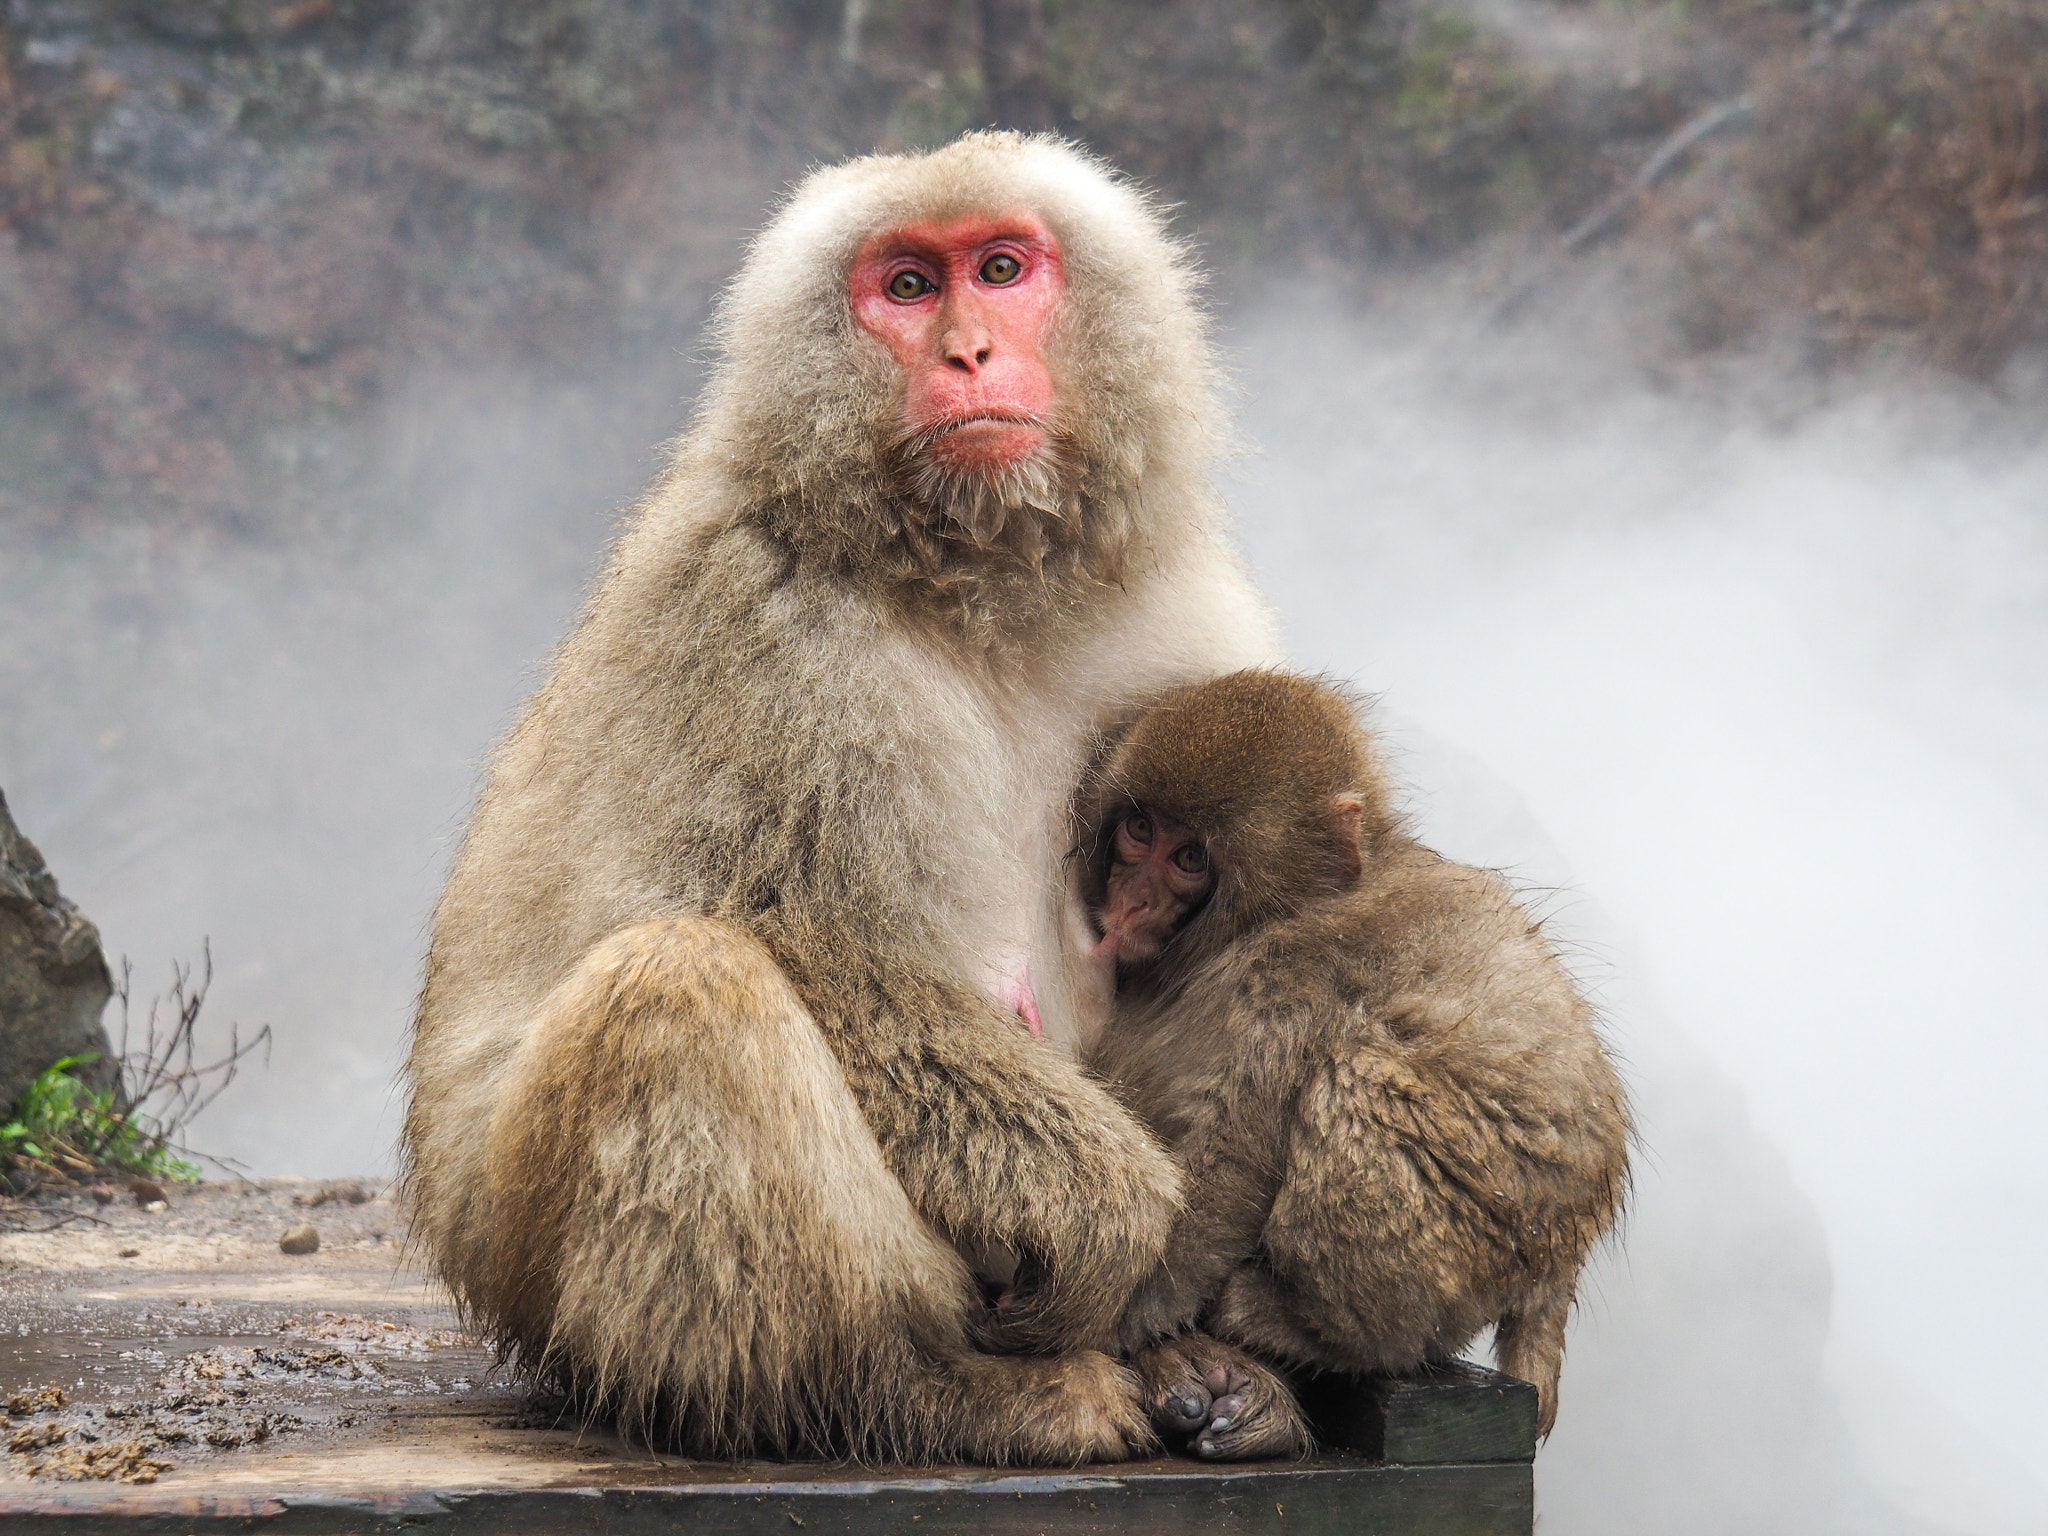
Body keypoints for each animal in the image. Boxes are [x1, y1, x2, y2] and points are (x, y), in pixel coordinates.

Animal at [400, 132, 1309, 1464]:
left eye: (999, 268)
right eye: (908, 289)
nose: (966, 352)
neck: (977, 585)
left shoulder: (1181, 621)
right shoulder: (770, 629)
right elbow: (795, 937)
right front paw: (1107, 1207)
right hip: (525, 1259)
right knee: (680, 983)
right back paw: (907, 1387)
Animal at [1078, 671, 1630, 1448]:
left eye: (1188, 859)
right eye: (1140, 831)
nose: (1133, 900)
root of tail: (1564, 1256)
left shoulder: (1293, 978)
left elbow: (1229, 1168)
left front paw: (1118, 1324)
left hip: (1487, 1239)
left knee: (1356, 1077)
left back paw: (1314, 1332)